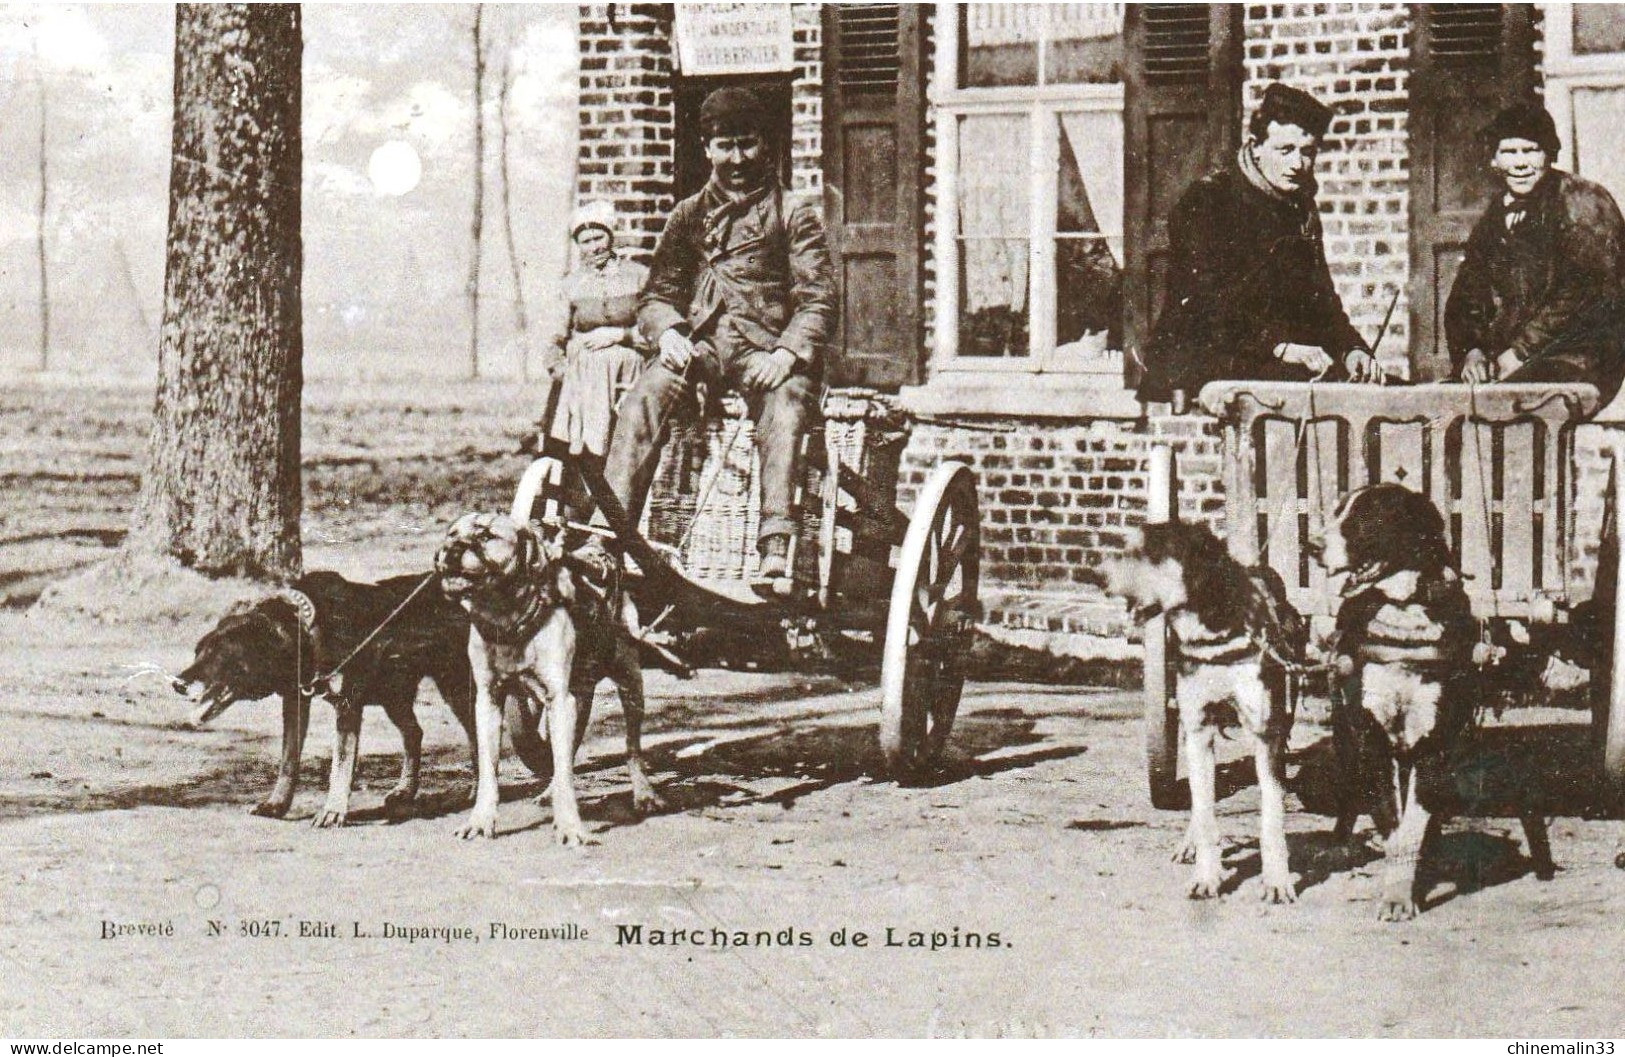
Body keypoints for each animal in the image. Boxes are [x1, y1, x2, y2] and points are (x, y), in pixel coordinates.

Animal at [438, 507, 666, 845]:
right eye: (452, 534)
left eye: (487, 535)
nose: (450, 551)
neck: (507, 617)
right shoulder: (489, 702)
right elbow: (490, 771)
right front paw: (480, 820)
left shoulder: (559, 699)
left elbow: (565, 771)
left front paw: (570, 825)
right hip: (578, 697)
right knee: (568, 753)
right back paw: (549, 792)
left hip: (630, 685)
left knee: (632, 748)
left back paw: (644, 794)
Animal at [1098, 517, 1313, 897]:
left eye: (1150, 552)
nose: (1097, 576)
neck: (1213, 634)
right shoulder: (1198, 728)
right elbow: (1204, 806)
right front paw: (1207, 875)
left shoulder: (1264, 732)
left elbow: (1271, 813)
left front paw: (1277, 881)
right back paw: (1190, 844)